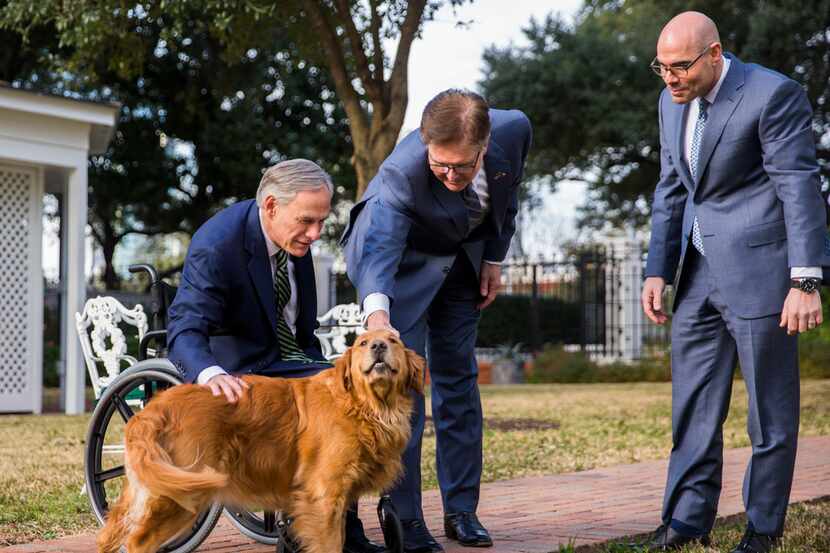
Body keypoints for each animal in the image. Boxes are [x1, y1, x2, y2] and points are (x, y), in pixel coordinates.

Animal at [97, 330, 422, 548]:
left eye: (393, 341)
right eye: (363, 343)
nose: (379, 346)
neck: (366, 406)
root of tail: (156, 406)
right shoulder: (324, 496)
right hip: (183, 492)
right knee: (139, 541)